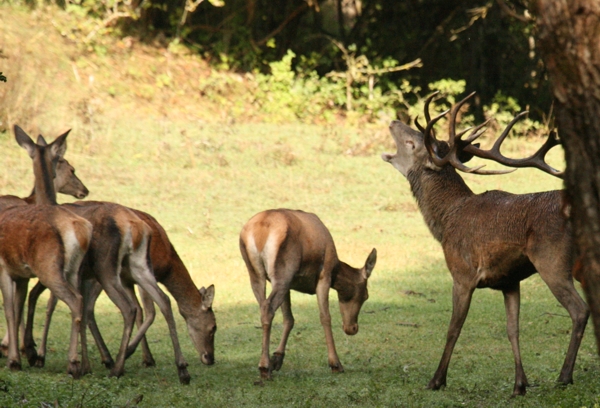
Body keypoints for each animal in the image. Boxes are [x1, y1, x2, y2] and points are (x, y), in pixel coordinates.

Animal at [0, 126, 92, 378]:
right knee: (81, 302)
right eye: (71, 168)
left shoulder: (7, 268)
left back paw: (72, 363)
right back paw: (84, 364)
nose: (85, 189)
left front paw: (20, 356)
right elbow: (19, 307)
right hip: (72, 270)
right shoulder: (20, 273)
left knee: (73, 300)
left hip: (49, 268)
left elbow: (13, 309)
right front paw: (24, 352)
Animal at [238, 209, 376, 380]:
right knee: (268, 308)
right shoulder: (324, 276)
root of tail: (260, 232)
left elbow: (289, 319)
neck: (336, 270)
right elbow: (325, 317)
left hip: (257, 274)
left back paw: (266, 365)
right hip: (283, 271)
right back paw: (264, 367)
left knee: (264, 306)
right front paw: (335, 364)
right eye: (365, 295)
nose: (352, 328)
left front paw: (277, 359)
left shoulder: (290, 284)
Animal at [382, 91, 588, 396]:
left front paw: (436, 380)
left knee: (580, 310)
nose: (394, 121)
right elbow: (513, 329)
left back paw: (564, 376)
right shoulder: (509, 280)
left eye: (413, 142)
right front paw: (520, 384)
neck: (445, 221)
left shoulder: (462, 272)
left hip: (553, 260)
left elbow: (453, 328)